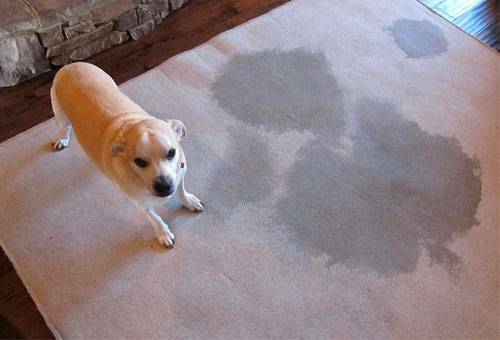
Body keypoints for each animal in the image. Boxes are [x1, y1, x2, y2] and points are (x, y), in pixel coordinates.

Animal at [50, 61, 203, 247]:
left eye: (172, 152)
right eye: (139, 162)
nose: (164, 186)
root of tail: (71, 65)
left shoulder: (179, 176)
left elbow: (181, 191)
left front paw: (188, 201)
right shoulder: (140, 203)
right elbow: (154, 218)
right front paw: (163, 232)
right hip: (59, 110)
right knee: (64, 127)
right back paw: (62, 138)